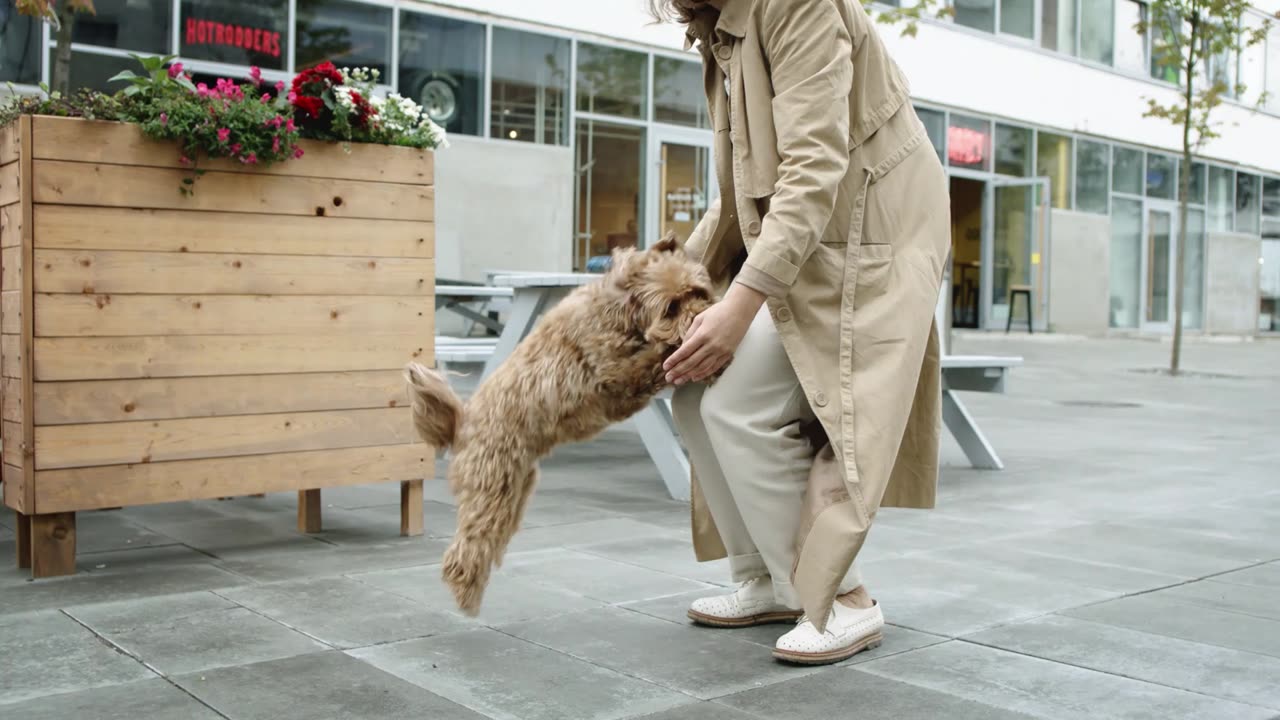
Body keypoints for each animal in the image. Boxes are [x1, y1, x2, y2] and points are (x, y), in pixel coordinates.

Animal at [407, 234, 721, 609]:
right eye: (671, 308)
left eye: (698, 292)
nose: (703, 316)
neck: (621, 310)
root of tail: (462, 422)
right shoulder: (615, 373)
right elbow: (655, 358)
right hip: (491, 484)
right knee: (466, 548)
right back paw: (466, 594)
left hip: (515, 490)